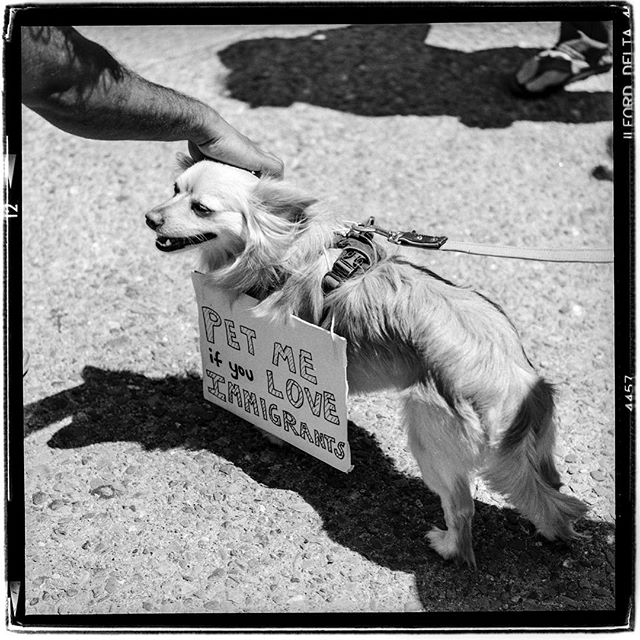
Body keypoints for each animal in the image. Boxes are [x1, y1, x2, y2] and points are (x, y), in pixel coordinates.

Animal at [148, 158, 588, 568]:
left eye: (201, 208)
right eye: (174, 189)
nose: (150, 218)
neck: (280, 242)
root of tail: (517, 391)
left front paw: (275, 433)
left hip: (427, 434)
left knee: (463, 510)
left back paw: (448, 546)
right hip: (536, 451)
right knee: (551, 493)